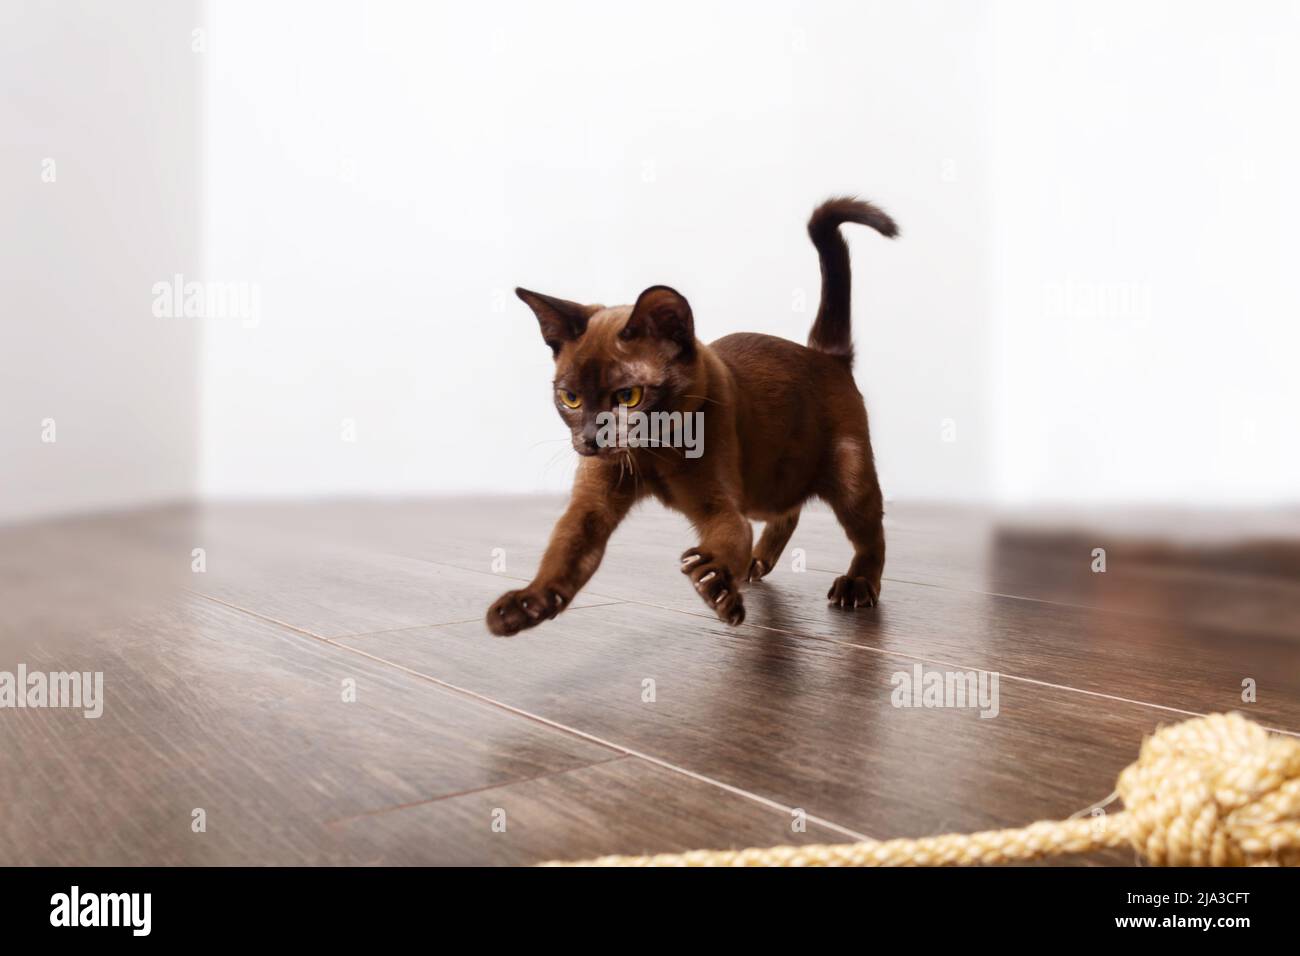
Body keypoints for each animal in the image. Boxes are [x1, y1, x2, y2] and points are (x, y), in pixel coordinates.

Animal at [483, 196, 899, 634]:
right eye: (571, 399)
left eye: (628, 396)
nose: (591, 440)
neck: (650, 457)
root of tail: (825, 354)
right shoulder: (591, 508)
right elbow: (565, 553)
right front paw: (524, 606)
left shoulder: (718, 507)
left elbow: (730, 537)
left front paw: (715, 584)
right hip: (769, 483)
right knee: (787, 513)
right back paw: (757, 564)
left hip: (849, 477)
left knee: (870, 534)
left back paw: (856, 586)